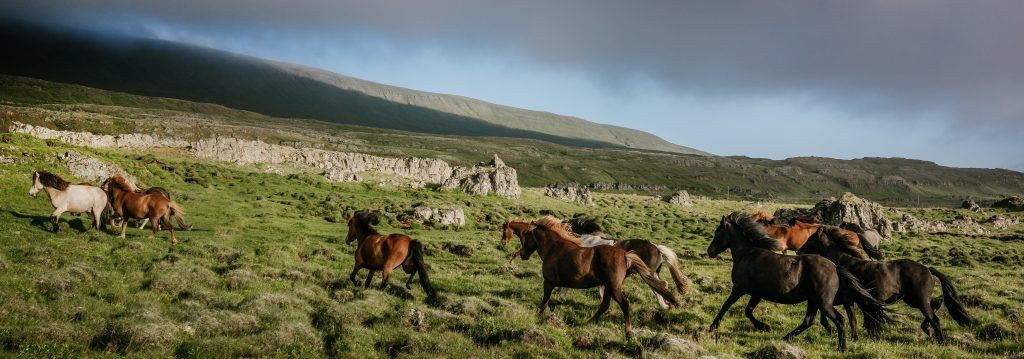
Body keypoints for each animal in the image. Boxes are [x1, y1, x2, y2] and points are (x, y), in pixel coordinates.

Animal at [512, 214, 679, 335]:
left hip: (617, 286)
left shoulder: (549, 282)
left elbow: (545, 300)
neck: (555, 248)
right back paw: (589, 322)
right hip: (613, 285)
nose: (522, 254)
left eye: (526, 237)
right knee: (607, 304)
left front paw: (539, 315)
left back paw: (629, 329)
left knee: (629, 302)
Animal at [704, 213, 888, 351]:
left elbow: (726, 306)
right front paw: (765, 327)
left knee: (839, 320)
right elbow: (748, 311)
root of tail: (836, 267)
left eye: (718, 232)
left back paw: (841, 348)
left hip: (823, 302)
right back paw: (786, 337)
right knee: (809, 320)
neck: (747, 254)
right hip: (813, 300)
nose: (710, 252)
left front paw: (713, 326)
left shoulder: (739, 288)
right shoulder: (757, 293)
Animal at [794, 229, 970, 341]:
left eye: (811, 238)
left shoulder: (845, 298)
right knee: (937, 303)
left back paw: (939, 339)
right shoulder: (847, 300)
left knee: (935, 318)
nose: (799, 251)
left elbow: (849, 317)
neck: (844, 263)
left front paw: (845, 334)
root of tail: (928, 269)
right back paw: (927, 329)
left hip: (919, 300)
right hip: (912, 300)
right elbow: (851, 318)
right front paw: (853, 336)